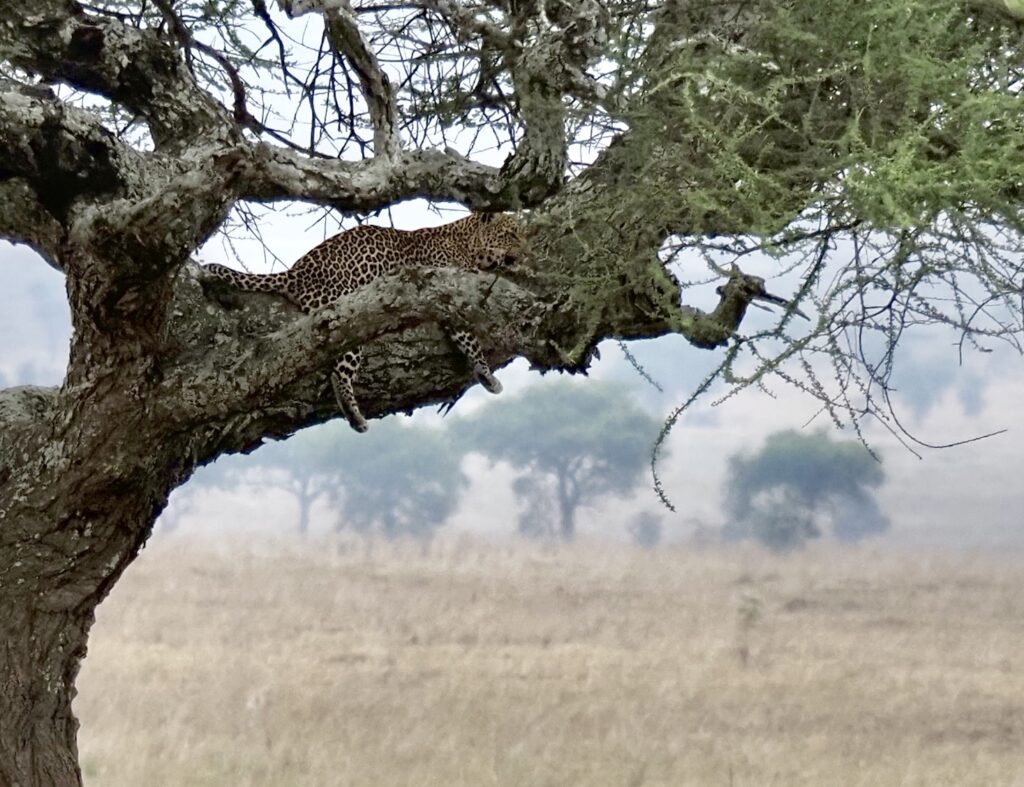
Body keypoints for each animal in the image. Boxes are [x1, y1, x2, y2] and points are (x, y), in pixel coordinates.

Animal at [201, 210, 520, 429]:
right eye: (512, 234)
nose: (525, 248)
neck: (467, 242)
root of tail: (296, 271)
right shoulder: (446, 295)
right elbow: (470, 339)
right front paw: (487, 377)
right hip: (345, 318)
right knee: (338, 372)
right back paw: (356, 418)